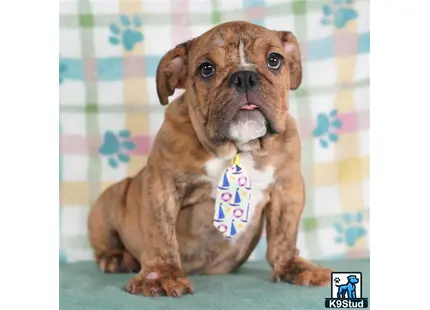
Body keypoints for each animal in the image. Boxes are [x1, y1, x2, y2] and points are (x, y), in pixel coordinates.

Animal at [86, 21, 330, 298]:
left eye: (274, 60)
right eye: (206, 69)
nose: (245, 77)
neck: (238, 148)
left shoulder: (287, 189)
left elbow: (284, 235)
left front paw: (293, 267)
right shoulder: (162, 186)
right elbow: (160, 234)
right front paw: (160, 275)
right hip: (110, 200)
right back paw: (116, 257)